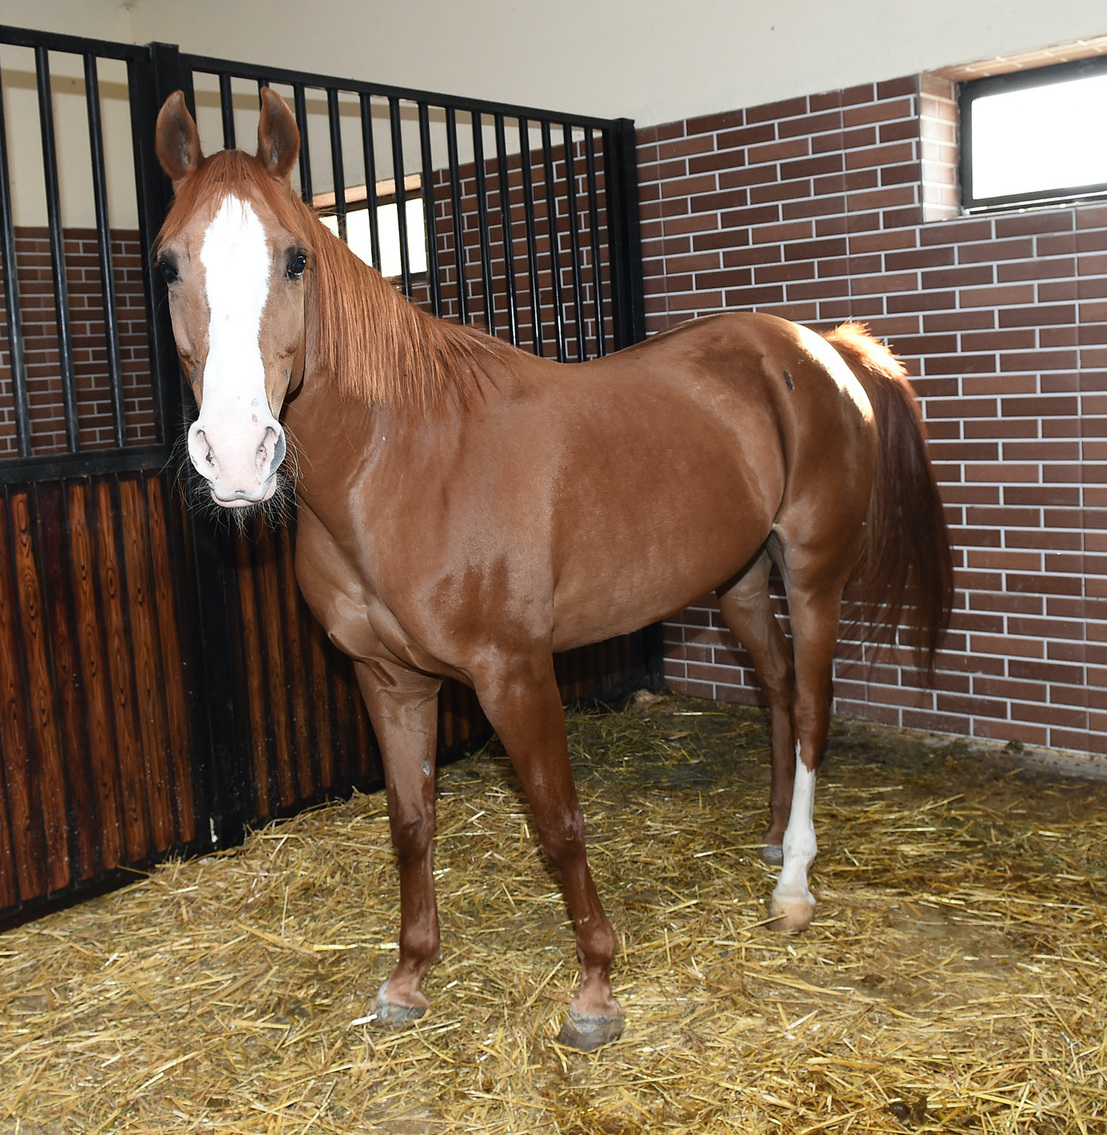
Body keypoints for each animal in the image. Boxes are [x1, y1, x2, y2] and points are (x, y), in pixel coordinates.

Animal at [154, 87, 953, 1051]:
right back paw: (768, 838)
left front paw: (596, 988)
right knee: (775, 692)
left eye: (295, 257)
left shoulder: (515, 673)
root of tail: (823, 348)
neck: (402, 462)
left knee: (810, 709)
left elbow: (558, 822)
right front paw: (408, 976)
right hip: (736, 579)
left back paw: (791, 884)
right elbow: (410, 822)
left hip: (811, 570)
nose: (237, 454)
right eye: (167, 265)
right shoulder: (387, 678)